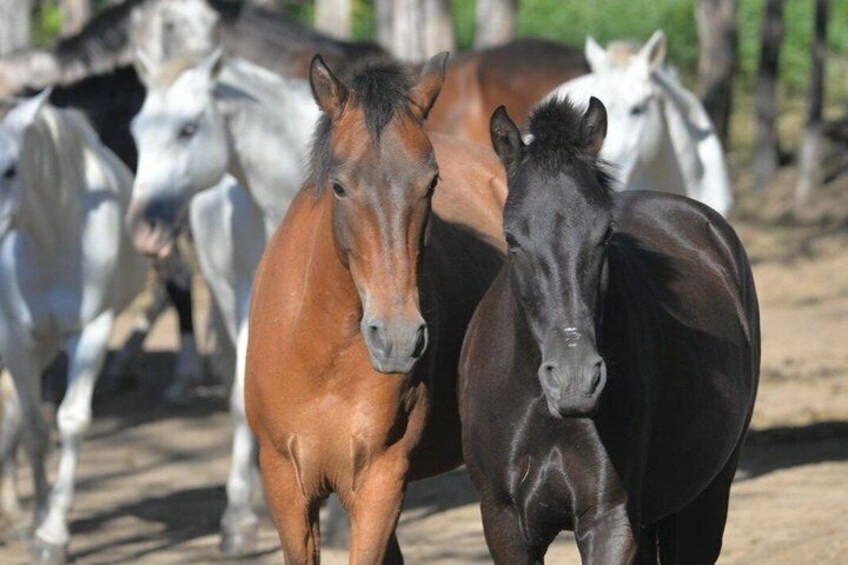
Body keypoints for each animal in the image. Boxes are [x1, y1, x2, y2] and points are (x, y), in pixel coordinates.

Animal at [0, 92, 148, 563]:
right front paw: (40, 523)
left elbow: (69, 421)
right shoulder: (16, 336)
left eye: (11, 169)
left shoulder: (92, 330)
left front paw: (51, 534)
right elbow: (35, 427)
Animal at [126, 49, 321, 554]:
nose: (144, 229)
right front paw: (238, 519)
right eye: (136, 130)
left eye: (188, 128)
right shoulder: (252, 299)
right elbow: (242, 399)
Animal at [244, 54, 506, 563]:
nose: (399, 339)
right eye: (339, 186)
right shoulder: (286, 485)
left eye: (432, 183)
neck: (320, 352)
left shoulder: (380, 482)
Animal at [458, 98, 759, 564]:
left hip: (705, 500)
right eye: (512, 238)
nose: (574, 380)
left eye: (604, 234)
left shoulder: (610, 518)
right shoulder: (504, 522)